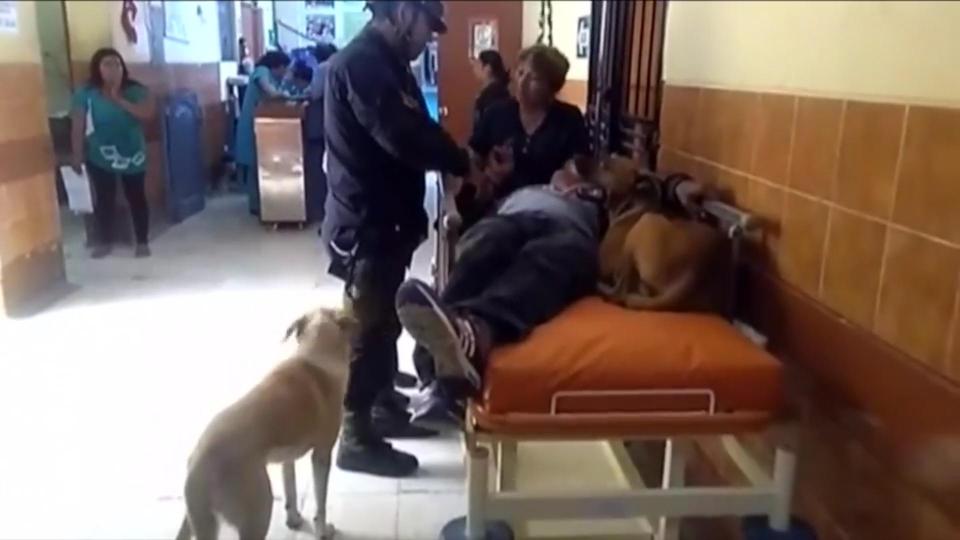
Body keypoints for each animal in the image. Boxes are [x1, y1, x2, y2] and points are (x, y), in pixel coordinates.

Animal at [174, 308, 354, 540]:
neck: (315, 355)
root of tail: (200, 465)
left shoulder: (288, 458)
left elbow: (290, 490)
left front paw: (294, 519)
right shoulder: (322, 454)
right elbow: (320, 503)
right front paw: (322, 530)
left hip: (195, 517)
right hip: (259, 511)